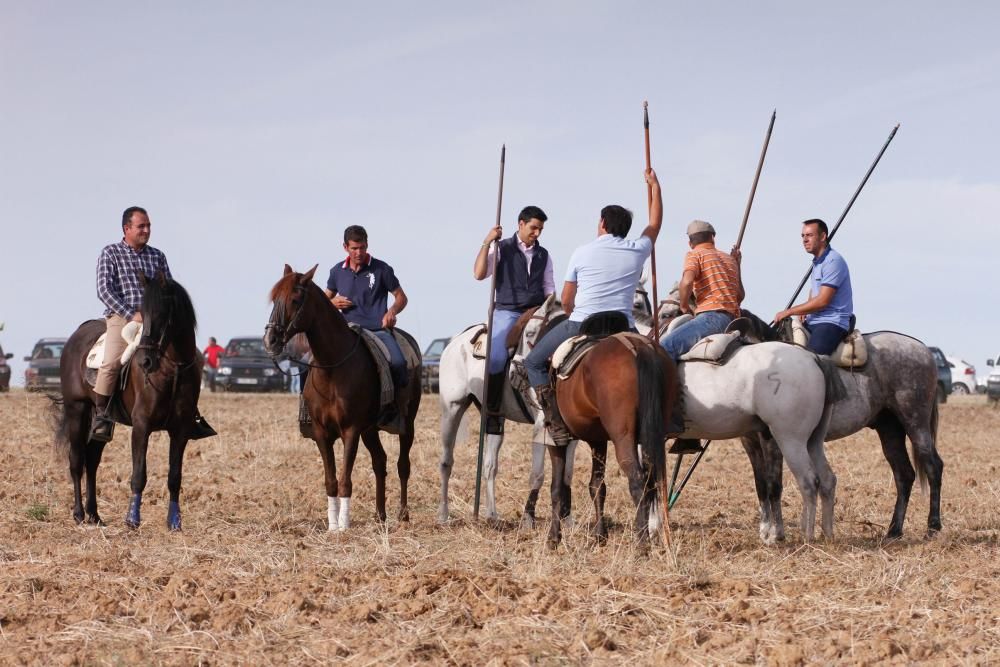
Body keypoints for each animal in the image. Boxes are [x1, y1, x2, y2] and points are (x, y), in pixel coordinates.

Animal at [56, 274, 203, 528]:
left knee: (92, 461)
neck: (172, 369)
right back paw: (79, 514)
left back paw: (94, 514)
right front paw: (132, 519)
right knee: (76, 461)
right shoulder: (142, 426)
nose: (145, 361)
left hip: (99, 424)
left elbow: (175, 476)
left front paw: (174, 521)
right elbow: (138, 475)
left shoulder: (181, 429)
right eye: (143, 312)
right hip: (77, 410)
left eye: (164, 313)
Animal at [262, 266, 422, 532]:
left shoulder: (351, 430)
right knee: (380, 462)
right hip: (370, 430)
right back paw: (380, 515)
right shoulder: (321, 433)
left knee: (403, 465)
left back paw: (403, 514)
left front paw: (344, 526)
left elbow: (346, 479)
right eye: (275, 300)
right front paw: (332, 525)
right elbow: (331, 480)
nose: (270, 340)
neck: (333, 367)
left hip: (407, 424)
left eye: (295, 299)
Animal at [548, 326, 680, 552]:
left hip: (623, 439)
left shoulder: (555, 441)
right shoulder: (598, 441)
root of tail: (639, 346)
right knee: (651, 480)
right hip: (652, 436)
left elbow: (557, 488)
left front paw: (553, 538)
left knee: (637, 481)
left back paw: (642, 544)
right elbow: (597, 486)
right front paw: (600, 535)